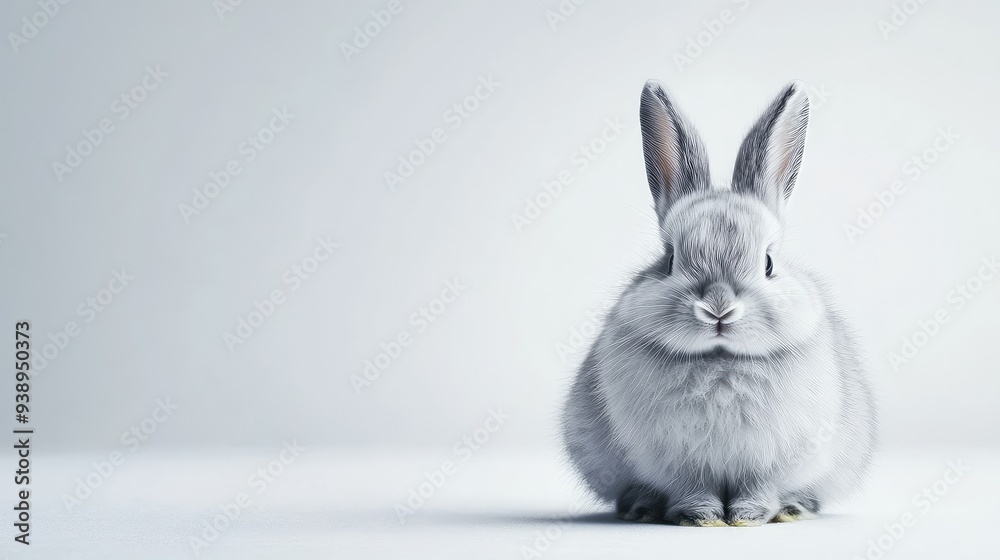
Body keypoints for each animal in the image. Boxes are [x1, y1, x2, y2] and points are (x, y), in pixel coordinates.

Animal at [561, 80, 877, 527]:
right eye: (670, 259)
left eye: (768, 262)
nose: (718, 308)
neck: (721, 360)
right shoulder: (679, 464)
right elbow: (692, 489)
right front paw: (703, 518)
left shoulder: (771, 462)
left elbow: (758, 488)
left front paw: (746, 517)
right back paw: (642, 508)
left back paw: (795, 508)